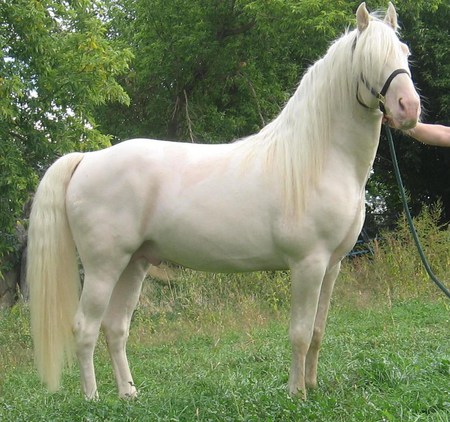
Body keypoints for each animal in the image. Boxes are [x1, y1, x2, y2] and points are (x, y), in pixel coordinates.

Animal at [27, 2, 422, 398]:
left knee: (115, 327)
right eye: (370, 58)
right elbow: (299, 333)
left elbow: (318, 331)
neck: (317, 158)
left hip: (133, 264)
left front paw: (311, 383)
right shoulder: (308, 263)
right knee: (85, 327)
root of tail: (87, 159)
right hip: (102, 267)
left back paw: (128, 395)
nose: (408, 108)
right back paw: (93, 399)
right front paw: (297, 393)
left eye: (404, 53)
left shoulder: (332, 265)